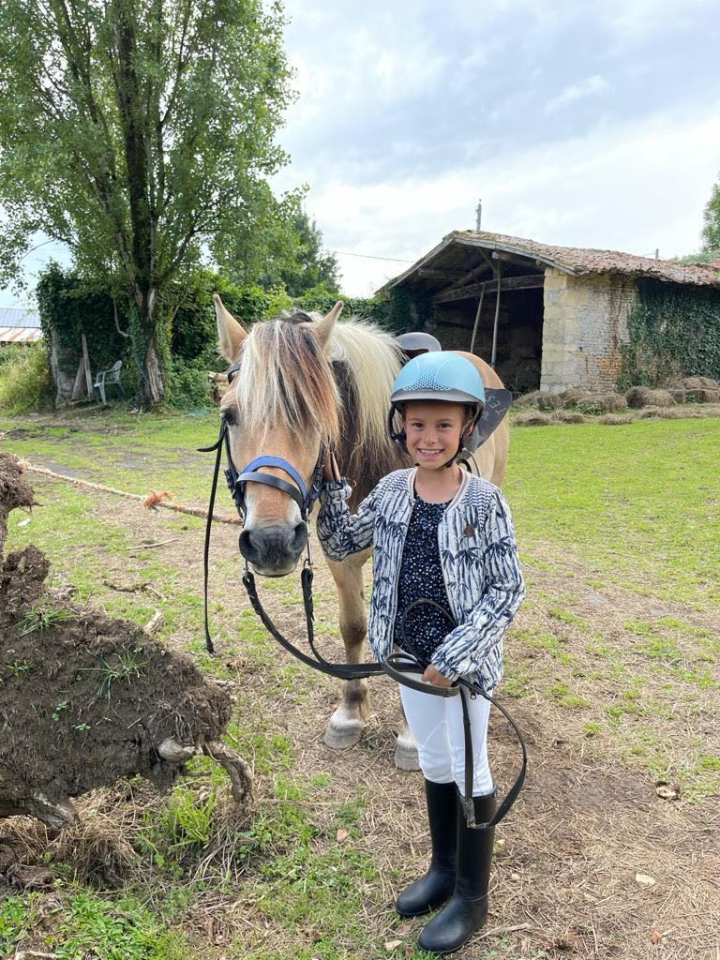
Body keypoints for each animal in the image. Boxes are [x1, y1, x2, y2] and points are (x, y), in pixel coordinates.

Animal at [213, 296, 510, 768]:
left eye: (319, 416)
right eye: (229, 414)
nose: (271, 541)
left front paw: (412, 735)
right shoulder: (341, 553)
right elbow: (353, 627)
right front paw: (350, 711)